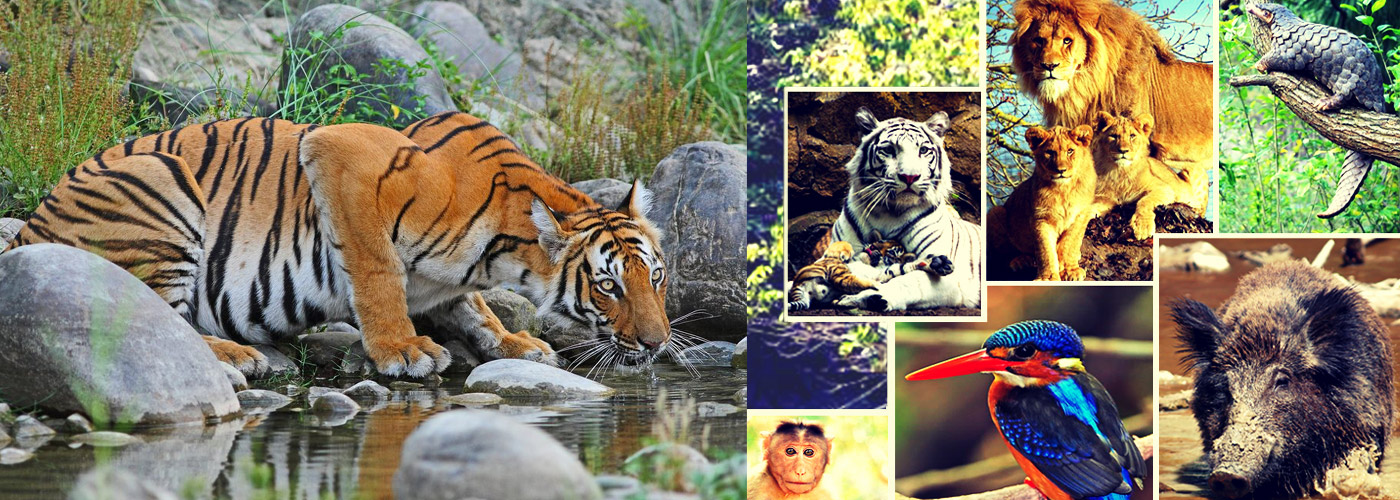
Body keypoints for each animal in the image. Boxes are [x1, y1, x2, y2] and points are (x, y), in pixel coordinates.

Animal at [4, 112, 672, 378]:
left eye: (657, 278)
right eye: (608, 285)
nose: (658, 343)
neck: (502, 254)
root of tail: (29, 231)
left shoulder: (455, 283)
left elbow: (474, 308)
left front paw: (513, 342)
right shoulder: (341, 154)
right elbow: (377, 273)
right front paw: (404, 350)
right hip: (159, 177)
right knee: (159, 321)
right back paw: (235, 356)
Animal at [817, 107, 983, 312]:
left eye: (923, 150)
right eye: (889, 150)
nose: (910, 177)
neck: (889, 212)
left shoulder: (950, 278)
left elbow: (907, 282)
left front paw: (865, 297)